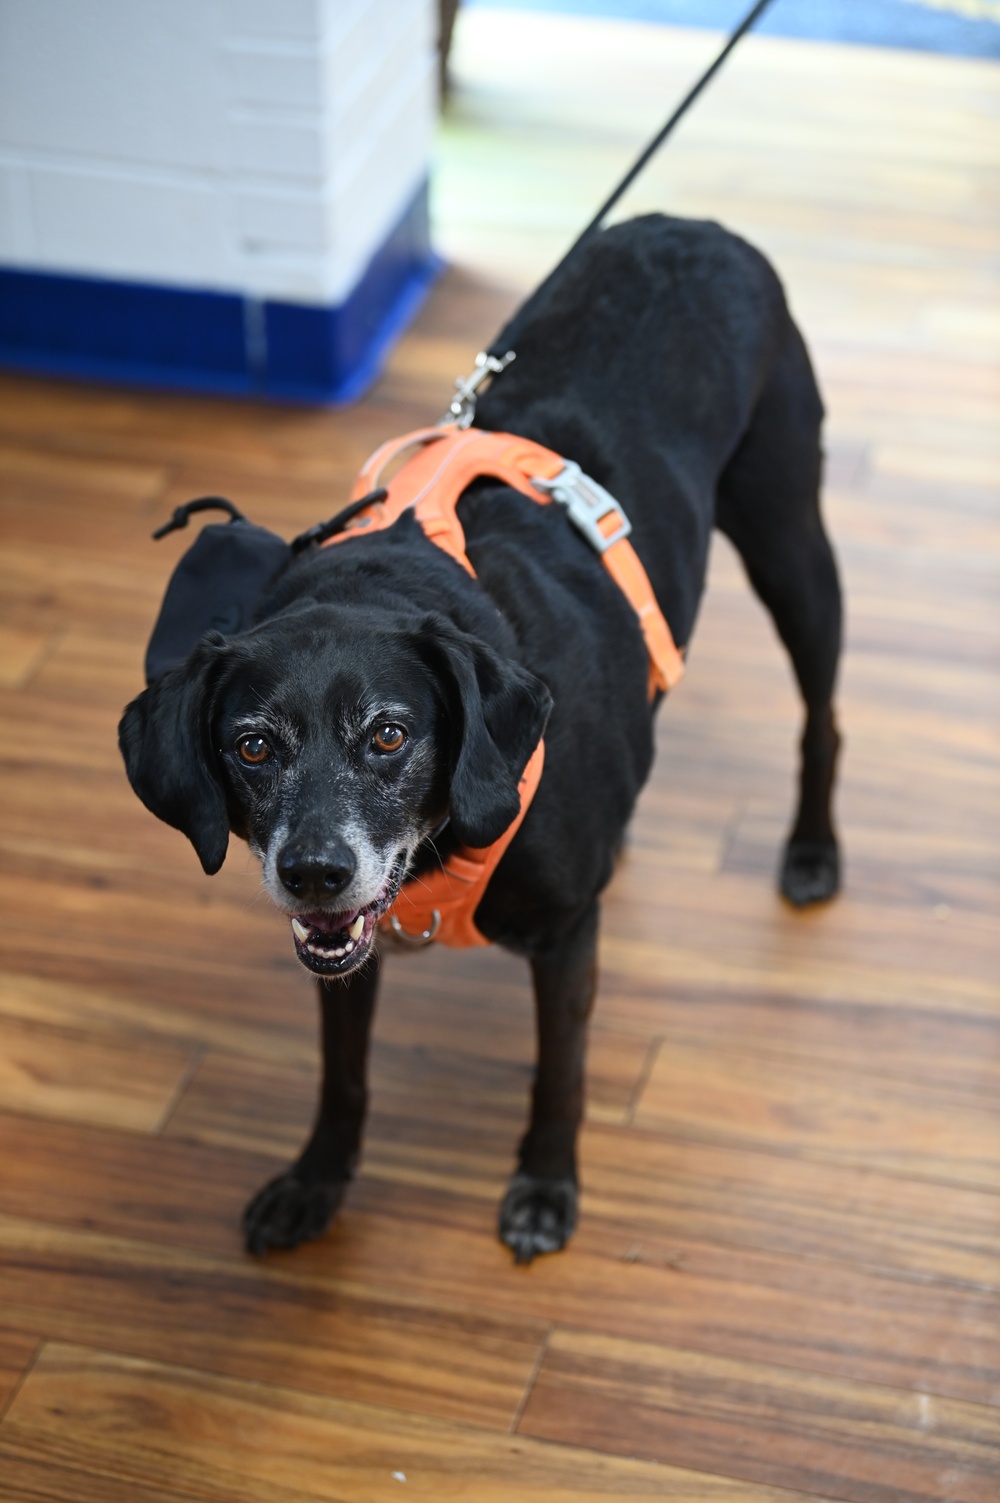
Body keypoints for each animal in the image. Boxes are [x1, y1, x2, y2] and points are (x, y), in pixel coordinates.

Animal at [121, 217, 836, 1262]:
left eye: (389, 734)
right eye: (251, 747)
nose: (314, 872)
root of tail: (689, 225)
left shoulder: (567, 935)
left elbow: (559, 1072)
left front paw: (544, 1186)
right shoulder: (345, 952)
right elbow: (343, 1075)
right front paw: (317, 1181)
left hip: (793, 543)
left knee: (824, 715)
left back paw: (813, 849)